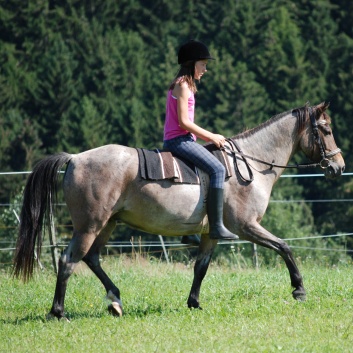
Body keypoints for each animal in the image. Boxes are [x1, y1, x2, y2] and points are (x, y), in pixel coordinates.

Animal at [13, 101, 344, 320]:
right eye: (326, 130)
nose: (338, 167)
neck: (250, 164)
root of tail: (76, 158)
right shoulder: (246, 226)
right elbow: (285, 247)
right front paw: (299, 289)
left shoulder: (211, 233)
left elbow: (201, 267)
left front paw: (194, 302)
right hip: (89, 226)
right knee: (69, 261)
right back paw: (58, 311)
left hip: (107, 224)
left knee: (91, 258)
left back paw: (115, 300)